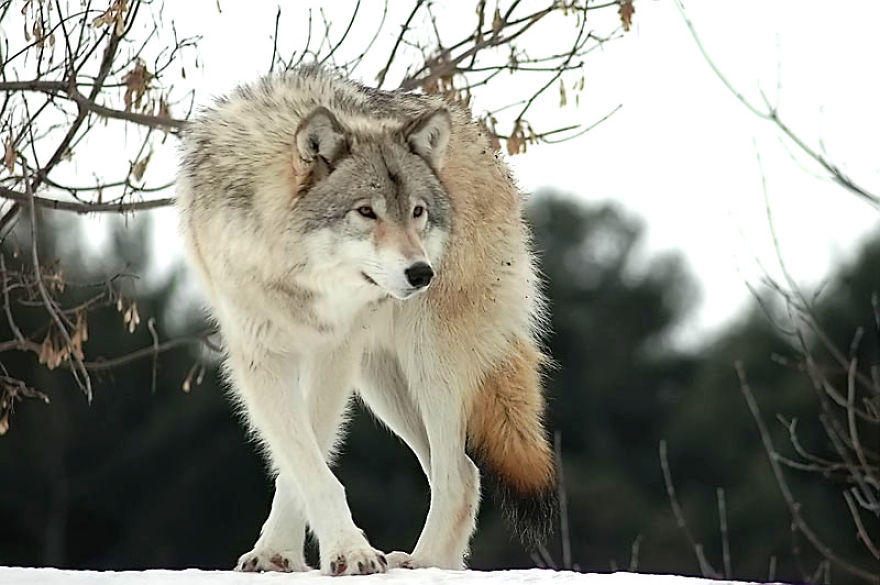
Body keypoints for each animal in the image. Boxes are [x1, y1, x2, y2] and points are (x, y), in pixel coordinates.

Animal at [175, 66, 552, 572]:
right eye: (366, 212)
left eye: (416, 211)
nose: (422, 273)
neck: (296, 277)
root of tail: (483, 144)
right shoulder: (259, 356)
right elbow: (299, 458)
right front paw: (280, 556)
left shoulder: (334, 350)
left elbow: (313, 453)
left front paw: (343, 552)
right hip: (381, 379)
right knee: (464, 470)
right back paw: (437, 564)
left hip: (428, 360)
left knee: (457, 473)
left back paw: (422, 563)